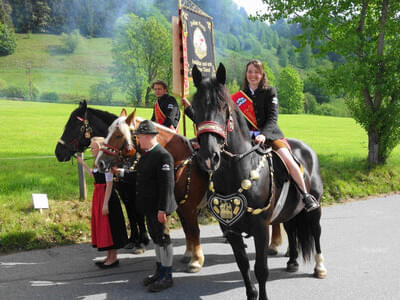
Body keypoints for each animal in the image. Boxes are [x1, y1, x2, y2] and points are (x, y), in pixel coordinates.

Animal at [55, 101, 149, 248]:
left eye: (75, 126)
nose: (58, 152)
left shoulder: (135, 190)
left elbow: (138, 213)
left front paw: (143, 239)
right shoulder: (123, 191)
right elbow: (131, 213)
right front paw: (133, 238)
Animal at [192, 65, 326, 300]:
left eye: (223, 106)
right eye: (195, 107)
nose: (209, 156)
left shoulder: (261, 229)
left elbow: (261, 269)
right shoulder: (231, 231)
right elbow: (244, 266)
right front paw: (251, 294)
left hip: (314, 208)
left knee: (316, 233)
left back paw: (319, 267)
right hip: (289, 210)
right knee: (291, 229)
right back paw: (292, 261)